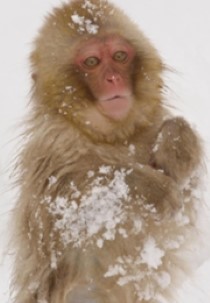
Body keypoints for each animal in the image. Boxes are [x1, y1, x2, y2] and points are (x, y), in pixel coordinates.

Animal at [9, 0, 203, 303]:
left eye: (120, 55)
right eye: (91, 62)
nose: (113, 78)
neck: (115, 137)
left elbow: (186, 189)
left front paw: (178, 143)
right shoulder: (51, 146)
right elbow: (65, 202)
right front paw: (149, 188)